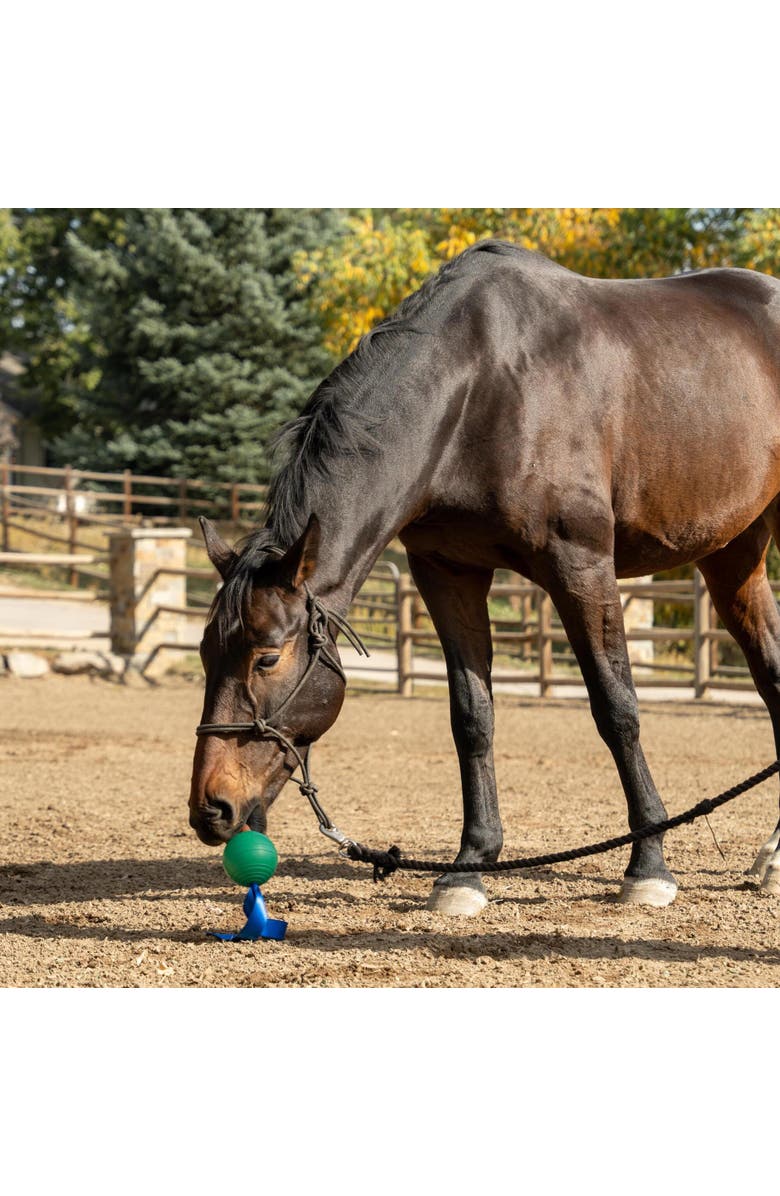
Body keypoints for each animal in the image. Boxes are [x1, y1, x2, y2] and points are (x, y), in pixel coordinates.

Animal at [190, 239, 780, 915]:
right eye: (205, 653)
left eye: (266, 658)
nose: (210, 807)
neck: (481, 388)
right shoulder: (449, 573)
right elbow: (472, 717)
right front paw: (469, 867)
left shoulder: (581, 567)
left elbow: (617, 709)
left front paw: (648, 864)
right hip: (733, 555)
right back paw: (771, 856)